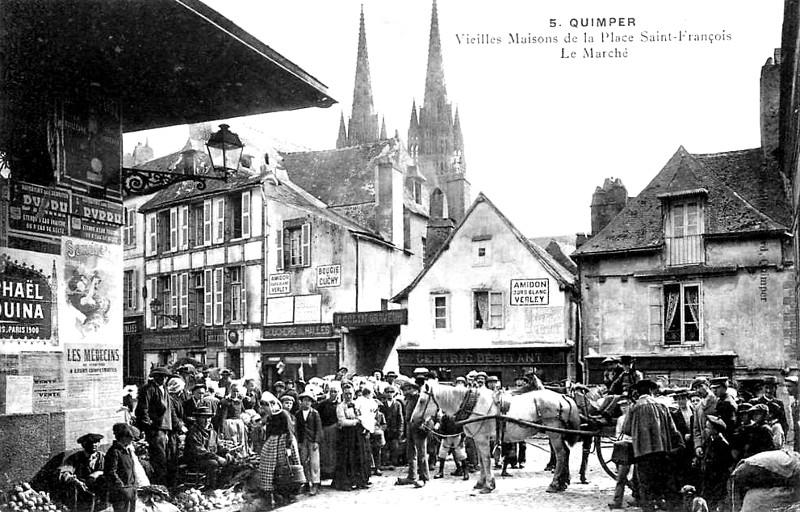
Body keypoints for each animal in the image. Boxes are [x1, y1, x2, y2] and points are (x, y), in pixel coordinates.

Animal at [412, 384, 580, 492]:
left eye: (422, 401)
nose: (413, 421)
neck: (473, 405)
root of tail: (563, 397)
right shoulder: (478, 439)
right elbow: (481, 460)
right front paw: (480, 483)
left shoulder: (482, 439)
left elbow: (486, 460)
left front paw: (489, 485)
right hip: (557, 433)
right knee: (565, 453)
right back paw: (563, 483)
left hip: (554, 433)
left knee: (561, 454)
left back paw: (554, 484)